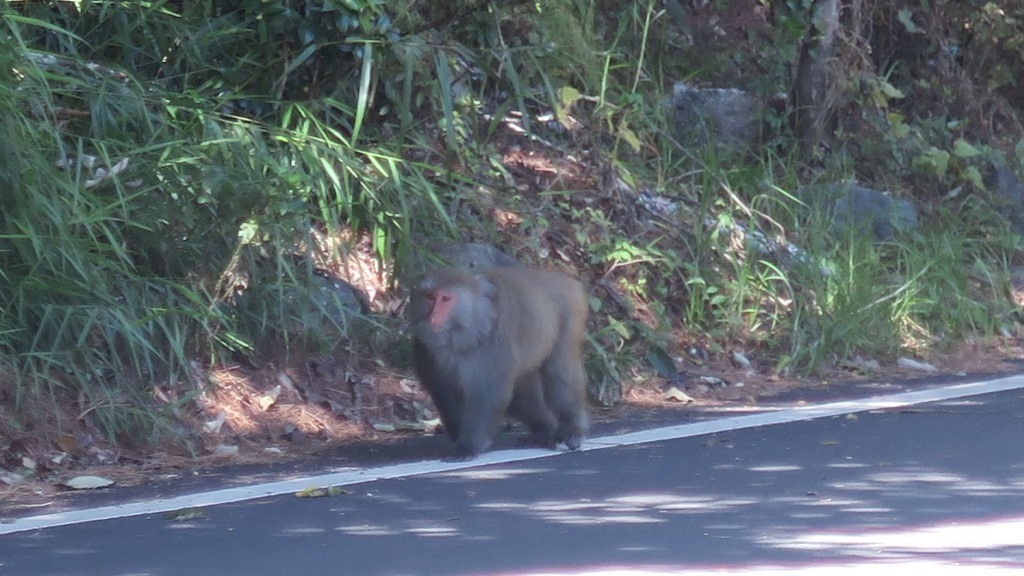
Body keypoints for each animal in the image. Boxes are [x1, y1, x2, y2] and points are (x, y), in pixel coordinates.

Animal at [405, 266, 585, 457]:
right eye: (430, 297)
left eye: (445, 299)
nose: (432, 315)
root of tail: (563, 279)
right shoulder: (424, 349)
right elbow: (443, 390)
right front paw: (457, 435)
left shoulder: (494, 343)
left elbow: (487, 392)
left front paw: (467, 447)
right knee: (522, 392)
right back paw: (543, 430)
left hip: (570, 315)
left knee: (559, 372)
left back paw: (572, 429)